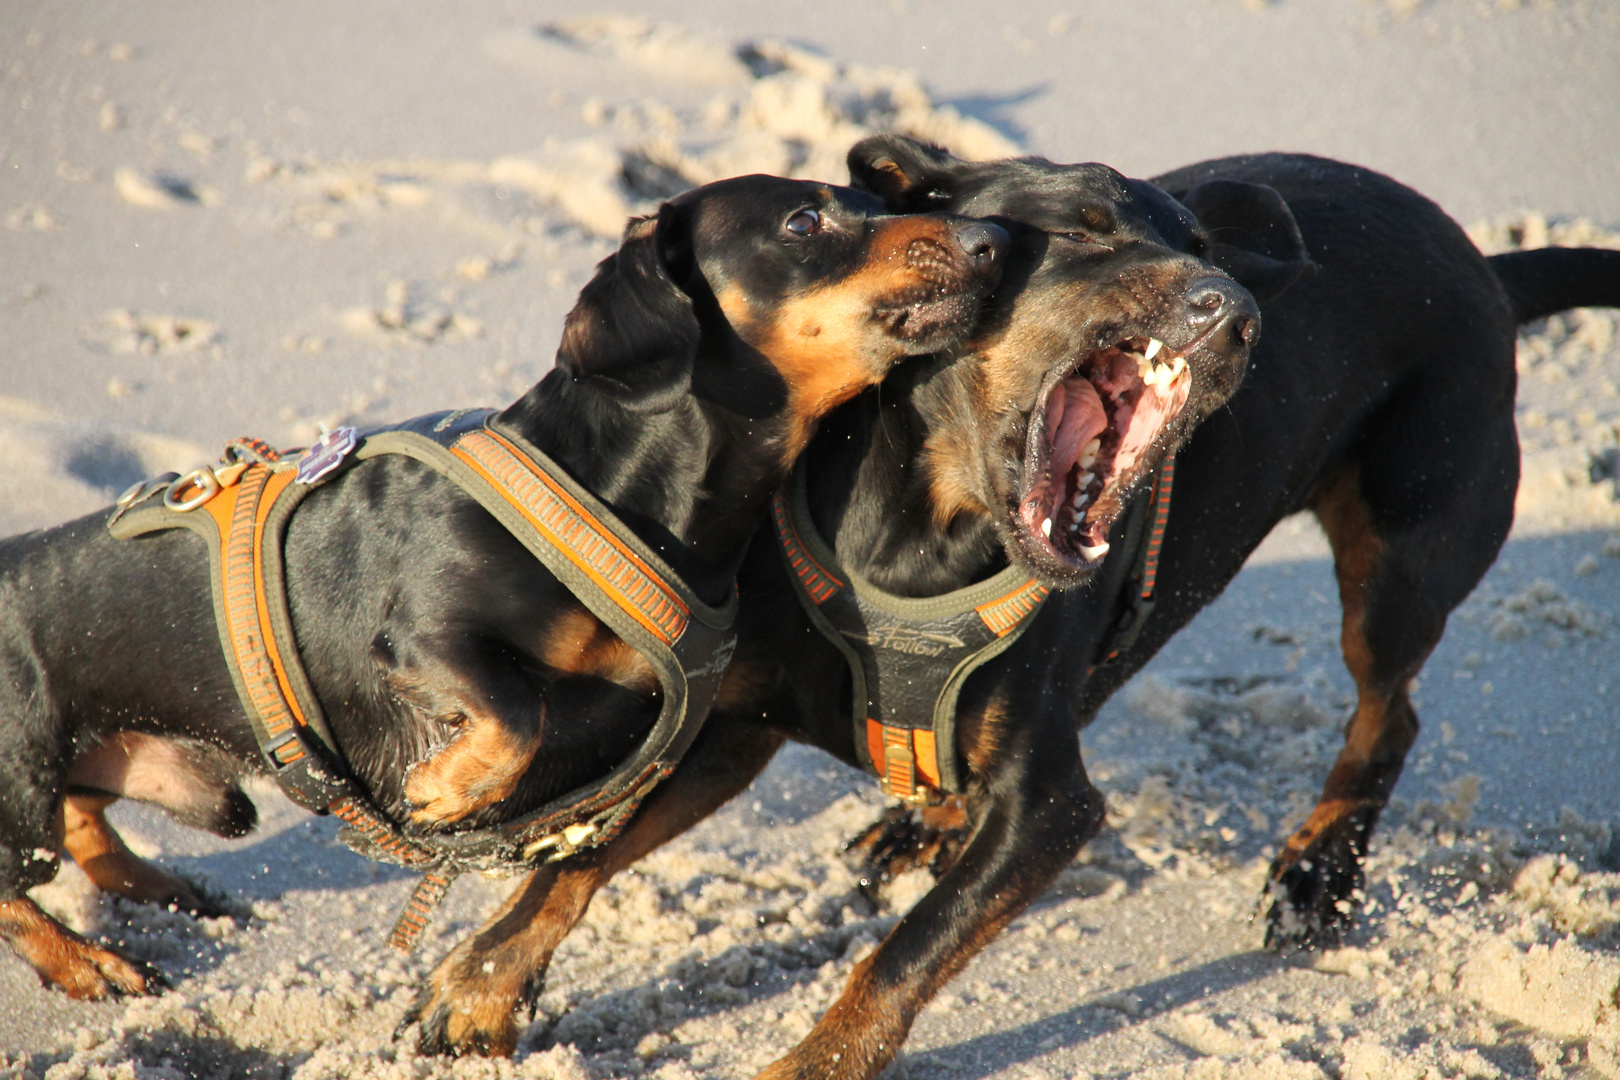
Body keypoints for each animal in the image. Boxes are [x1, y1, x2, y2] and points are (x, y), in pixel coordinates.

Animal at [0, 175, 997, 1023]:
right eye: (804, 222)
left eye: (880, 200)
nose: (989, 240)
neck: (624, 496)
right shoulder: (425, 636)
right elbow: (515, 709)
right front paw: (446, 788)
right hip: (24, 779)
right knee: (16, 883)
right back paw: (87, 963)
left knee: (84, 821)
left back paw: (157, 888)